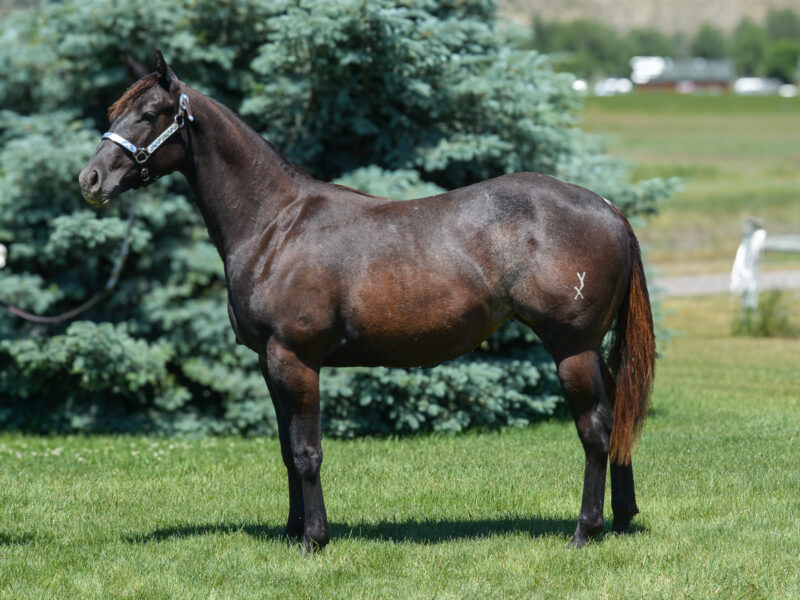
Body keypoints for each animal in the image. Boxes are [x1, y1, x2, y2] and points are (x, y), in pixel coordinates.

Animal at [79, 51, 656, 552]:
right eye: (115, 111)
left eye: (148, 114)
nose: (90, 179)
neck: (274, 225)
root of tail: (607, 207)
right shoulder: (269, 362)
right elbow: (287, 451)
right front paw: (292, 531)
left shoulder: (295, 358)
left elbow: (307, 452)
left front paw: (314, 539)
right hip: (590, 350)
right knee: (618, 416)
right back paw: (621, 518)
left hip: (571, 349)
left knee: (596, 429)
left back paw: (584, 531)